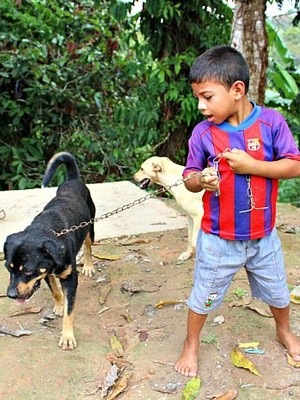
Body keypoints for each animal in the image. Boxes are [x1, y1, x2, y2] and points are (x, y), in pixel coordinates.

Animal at [3, 153, 95, 350]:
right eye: (9, 268)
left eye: (27, 271)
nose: (11, 295)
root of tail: (73, 181)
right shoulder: (45, 272)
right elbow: (55, 290)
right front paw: (59, 305)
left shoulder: (70, 279)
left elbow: (70, 311)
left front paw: (67, 336)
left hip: (90, 228)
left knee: (88, 246)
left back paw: (89, 266)